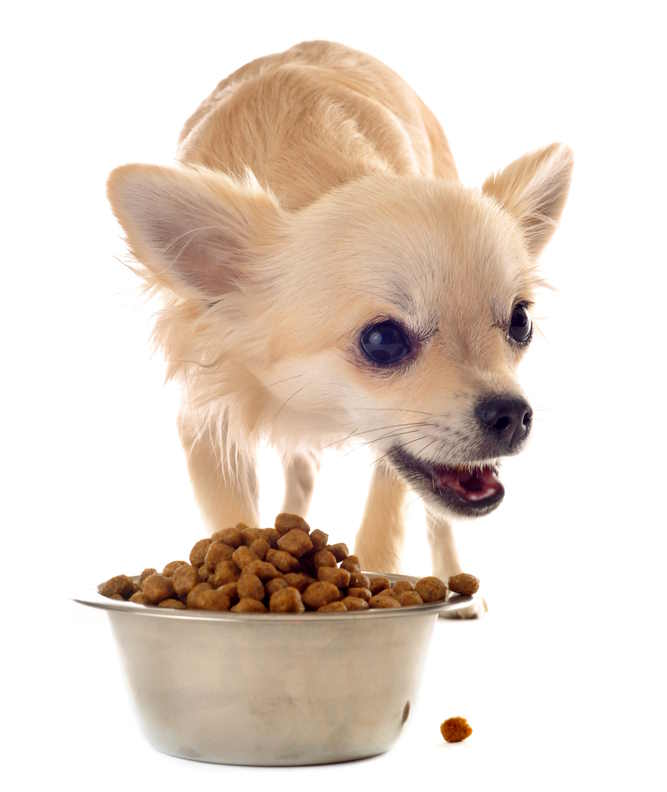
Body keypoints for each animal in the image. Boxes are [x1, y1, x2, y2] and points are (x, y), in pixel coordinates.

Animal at [105, 38, 576, 608]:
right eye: (382, 340)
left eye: (520, 322)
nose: (511, 412)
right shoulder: (207, 420)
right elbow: (231, 520)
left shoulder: (396, 449)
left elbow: (384, 528)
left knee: (437, 520)